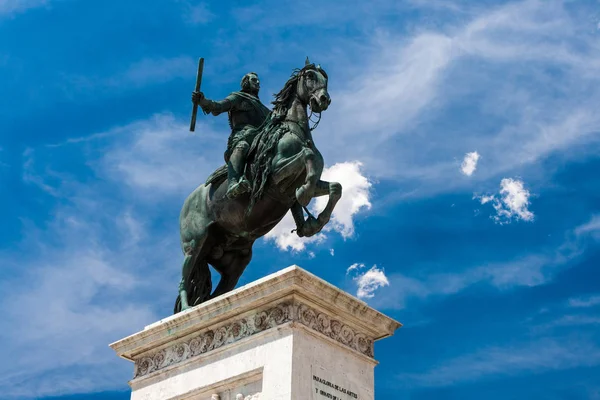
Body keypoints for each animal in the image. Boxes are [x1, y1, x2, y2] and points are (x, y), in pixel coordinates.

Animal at [176, 61, 340, 314]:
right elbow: (308, 156)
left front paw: (315, 222)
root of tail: (188, 202)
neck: (293, 131)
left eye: (325, 79)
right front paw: (304, 197)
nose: (323, 99)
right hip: (195, 245)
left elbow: (334, 187)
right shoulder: (275, 178)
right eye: (310, 77)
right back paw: (186, 310)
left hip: (235, 261)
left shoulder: (293, 188)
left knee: (217, 294)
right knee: (185, 278)